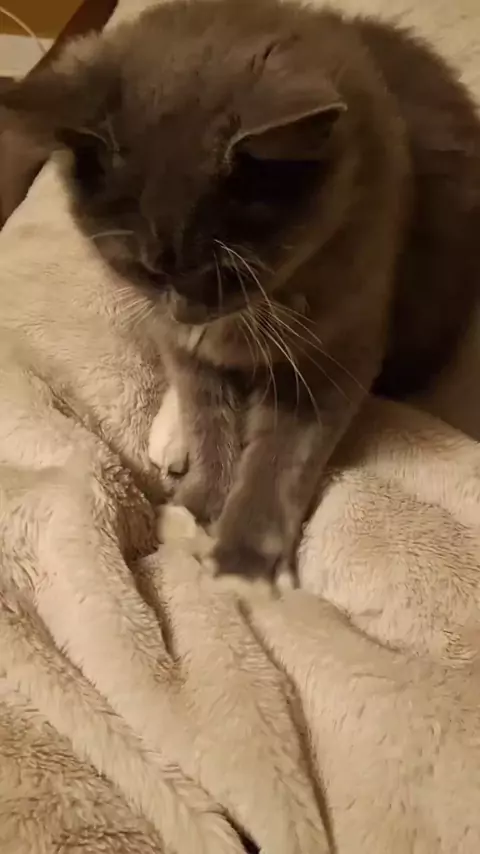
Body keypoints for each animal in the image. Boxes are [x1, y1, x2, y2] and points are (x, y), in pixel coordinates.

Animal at [3, 0, 480, 583]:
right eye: (143, 269)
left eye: (230, 270)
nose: (188, 314)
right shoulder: (182, 343)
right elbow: (207, 416)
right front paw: (198, 505)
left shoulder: (338, 345)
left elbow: (284, 458)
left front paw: (242, 562)